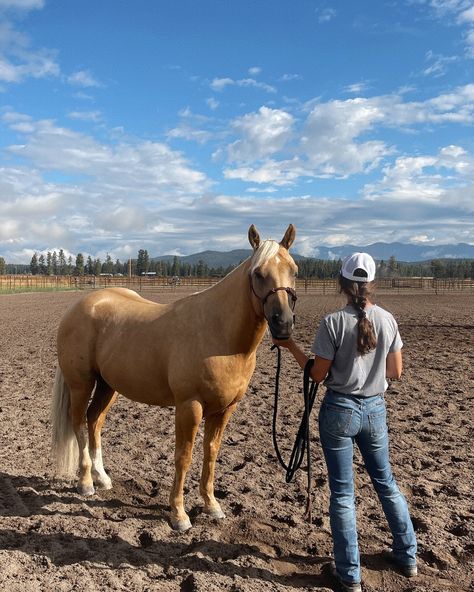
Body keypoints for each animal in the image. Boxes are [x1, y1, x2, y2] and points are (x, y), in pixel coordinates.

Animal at [51, 224, 296, 528]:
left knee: (94, 420)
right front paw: (179, 514)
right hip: (81, 384)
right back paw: (85, 483)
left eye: (294, 270)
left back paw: (103, 478)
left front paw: (211, 505)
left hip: (108, 386)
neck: (219, 334)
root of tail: (79, 306)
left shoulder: (225, 409)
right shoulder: (190, 406)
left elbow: (211, 453)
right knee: (79, 425)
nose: (283, 324)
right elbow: (184, 456)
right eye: (258, 273)